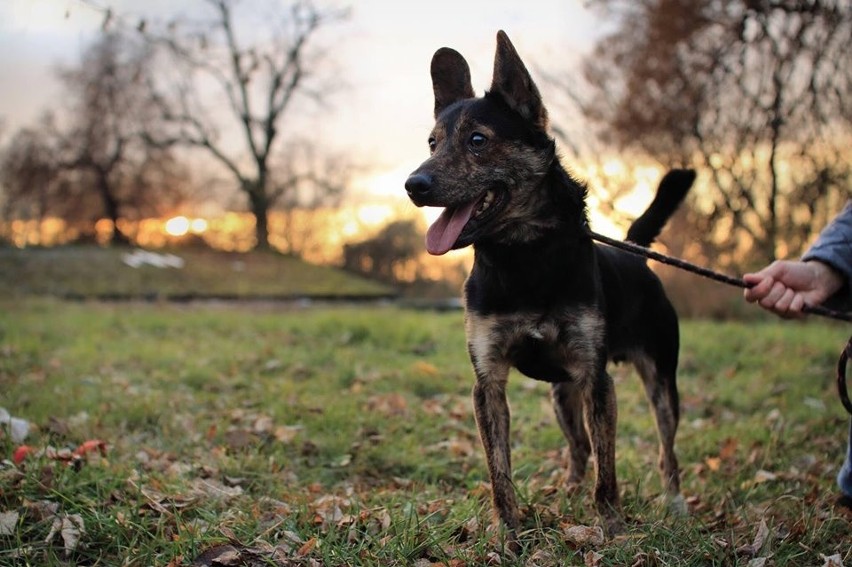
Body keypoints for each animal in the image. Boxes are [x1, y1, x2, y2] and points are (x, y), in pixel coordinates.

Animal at [402, 31, 696, 544]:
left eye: (477, 140)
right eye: (433, 143)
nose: (413, 184)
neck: (524, 258)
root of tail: (636, 255)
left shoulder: (597, 380)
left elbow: (608, 472)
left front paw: (612, 528)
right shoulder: (488, 383)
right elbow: (500, 470)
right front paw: (507, 532)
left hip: (660, 382)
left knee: (665, 450)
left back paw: (674, 502)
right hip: (562, 396)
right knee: (579, 449)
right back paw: (569, 493)